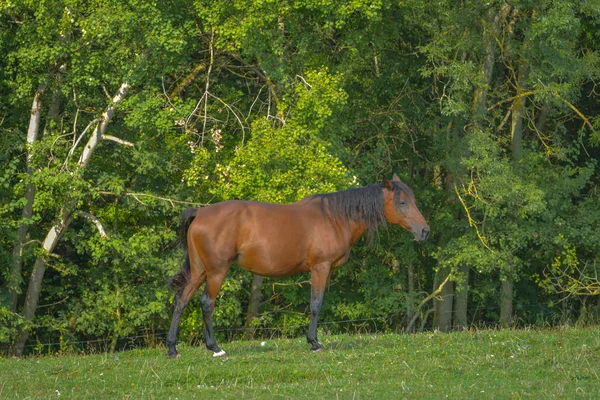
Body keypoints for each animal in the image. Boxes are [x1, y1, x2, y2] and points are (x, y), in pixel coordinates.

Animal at [168, 173, 432, 358]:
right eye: (402, 202)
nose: (425, 231)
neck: (335, 217)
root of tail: (200, 213)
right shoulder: (320, 268)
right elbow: (316, 304)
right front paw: (314, 343)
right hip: (216, 272)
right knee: (206, 302)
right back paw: (215, 348)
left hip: (199, 271)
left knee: (182, 300)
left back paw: (172, 349)